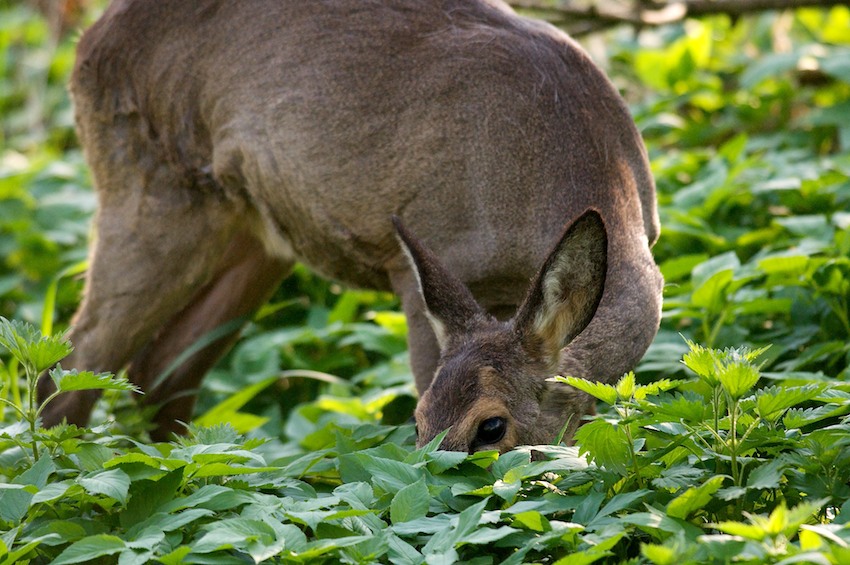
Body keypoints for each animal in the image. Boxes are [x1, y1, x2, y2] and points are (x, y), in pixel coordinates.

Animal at [39, 0, 663, 453]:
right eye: (417, 421)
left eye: (491, 427)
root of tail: (85, 45)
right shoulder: (423, 266)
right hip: (149, 192)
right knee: (70, 365)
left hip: (256, 236)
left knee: (158, 368)